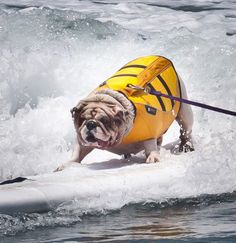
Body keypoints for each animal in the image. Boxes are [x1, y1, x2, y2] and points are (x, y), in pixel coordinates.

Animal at [59, 55, 194, 168]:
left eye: (105, 121)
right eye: (82, 119)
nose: (91, 124)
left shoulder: (149, 133)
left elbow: (150, 146)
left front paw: (153, 157)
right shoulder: (81, 139)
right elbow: (77, 152)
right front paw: (67, 165)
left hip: (184, 111)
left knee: (186, 130)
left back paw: (186, 145)